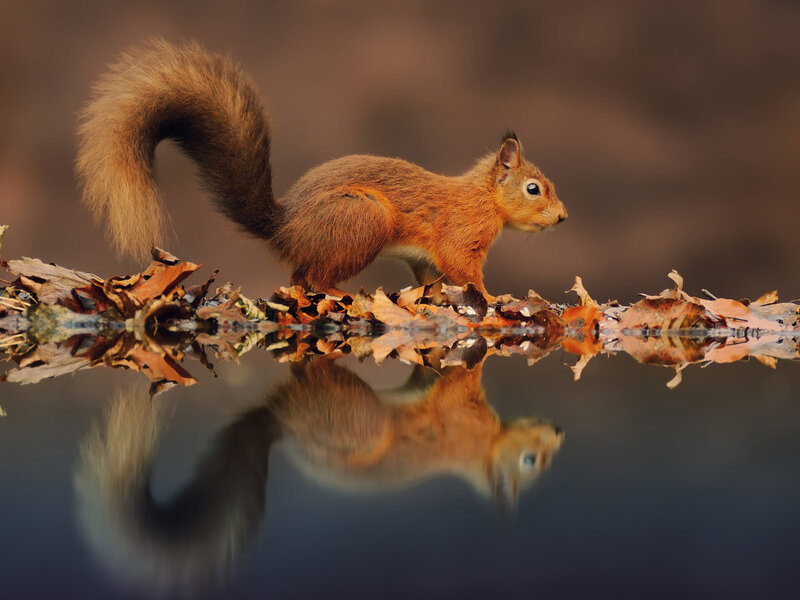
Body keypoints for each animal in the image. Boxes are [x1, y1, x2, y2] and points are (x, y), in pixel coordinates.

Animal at [76, 40, 567, 295]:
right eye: (534, 189)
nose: (563, 217)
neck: (483, 198)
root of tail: (287, 228)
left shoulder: (425, 259)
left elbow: (432, 277)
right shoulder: (460, 235)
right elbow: (463, 270)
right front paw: (491, 298)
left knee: (299, 278)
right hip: (362, 219)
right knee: (313, 279)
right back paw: (339, 295)